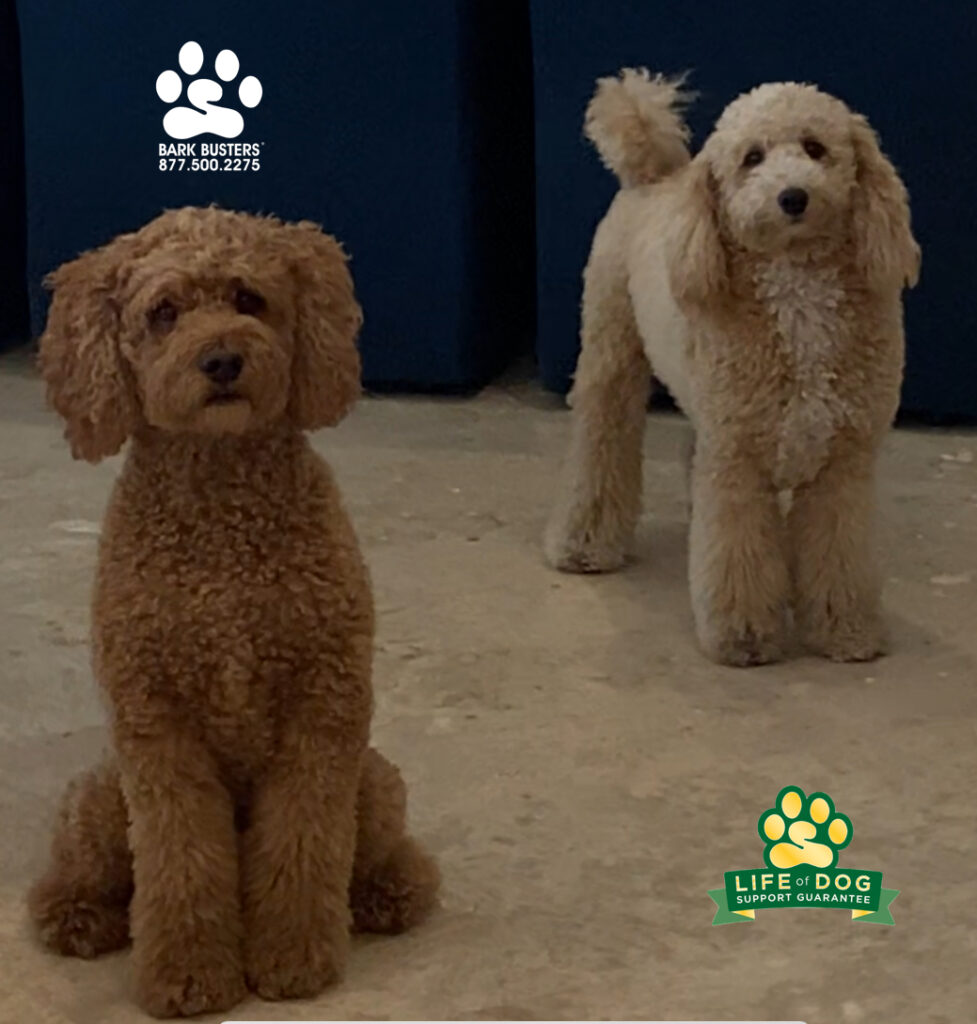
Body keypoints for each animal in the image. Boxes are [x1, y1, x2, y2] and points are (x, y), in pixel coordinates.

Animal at [28, 207, 440, 1017]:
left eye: (249, 299)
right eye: (163, 313)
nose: (221, 359)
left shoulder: (322, 714)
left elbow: (303, 847)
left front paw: (294, 960)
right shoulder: (159, 731)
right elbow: (182, 861)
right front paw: (189, 976)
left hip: (374, 782)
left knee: (373, 852)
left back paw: (388, 891)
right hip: (100, 796)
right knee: (94, 871)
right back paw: (77, 914)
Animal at [545, 70, 920, 667]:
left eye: (815, 148)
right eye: (752, 158)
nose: (793, 196)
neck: (798, 292)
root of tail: (654, 175)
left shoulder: (843, 465)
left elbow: (839, 556)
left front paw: (845, 630)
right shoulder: (737, 464)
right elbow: (737, 556)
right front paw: (744, 637)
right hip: (611, 355)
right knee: (601, 443)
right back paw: (583, 543)